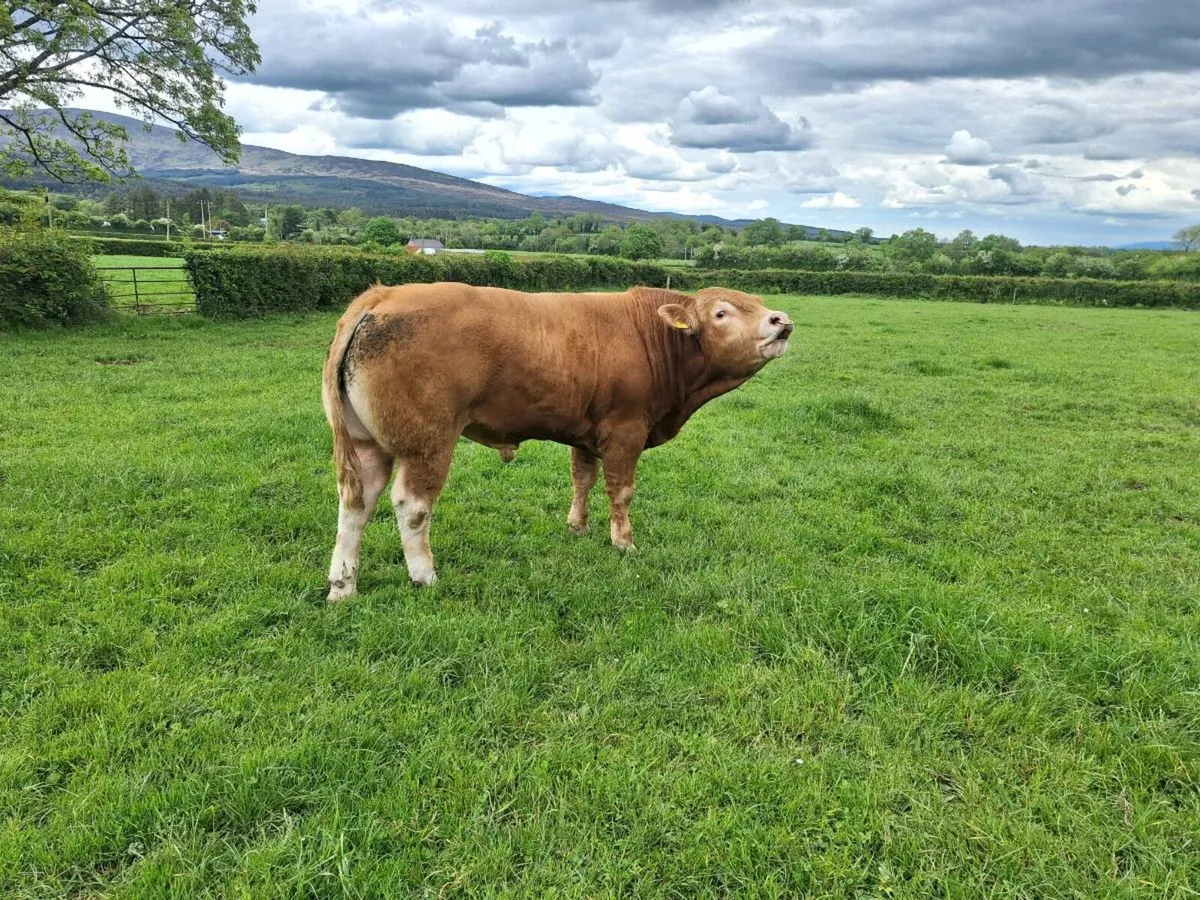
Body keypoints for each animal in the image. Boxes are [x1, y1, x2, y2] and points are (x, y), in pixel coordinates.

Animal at [321, 282, 794, 599]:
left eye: (757, 303)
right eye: (721, 313)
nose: (782, 321)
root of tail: (382, 296)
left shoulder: (586, 435)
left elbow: (582, 479)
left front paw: (578, 527)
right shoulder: (626, 430)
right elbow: (621, 489)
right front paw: (623, 542)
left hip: (367, 444)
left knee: (356, 503)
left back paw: (343, 585)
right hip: (428, 443)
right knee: (412, 506)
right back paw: (424, 575)